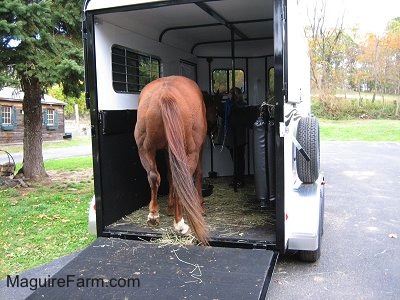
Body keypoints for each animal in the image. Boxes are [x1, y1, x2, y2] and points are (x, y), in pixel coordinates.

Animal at [134, 75, 209, 244]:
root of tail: (165, 94)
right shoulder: (199, 149)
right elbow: (198, 174)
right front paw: (200, 207)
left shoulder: (167, 151)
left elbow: (169, 176)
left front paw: (169, 206)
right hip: (191, 153)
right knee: (183, 179)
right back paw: (180, 224)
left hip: (145, 149)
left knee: (154, 176)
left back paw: (154, 215)